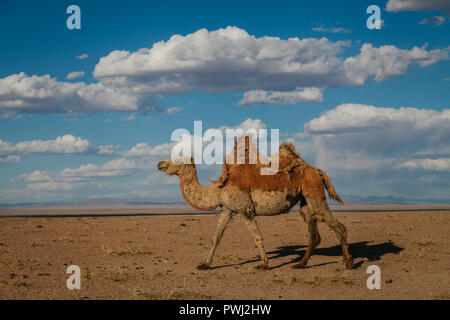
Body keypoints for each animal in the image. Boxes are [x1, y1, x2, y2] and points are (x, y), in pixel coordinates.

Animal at [156, 137, 354, 270]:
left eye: (177, 160)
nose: (160, 164)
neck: (219, 188)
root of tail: (319, 171)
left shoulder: (245, 209)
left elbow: (257, 237)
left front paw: (264, 265)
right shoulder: (228, 209)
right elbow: (216, 237)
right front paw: (205, 265)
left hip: (315, 194)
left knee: (338, 226)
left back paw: (348, 263)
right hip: (305, 200)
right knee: (314, 232)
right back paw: (300, 264)